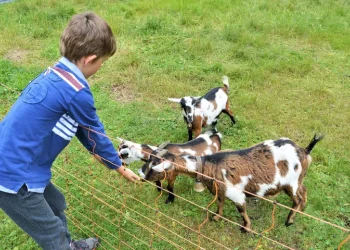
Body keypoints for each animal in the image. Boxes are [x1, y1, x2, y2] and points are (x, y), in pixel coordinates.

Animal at [145, 134, 322, 231]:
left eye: (155, 166)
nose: (142, 176)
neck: (209, 165)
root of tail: (305, 151)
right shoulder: (219, 190)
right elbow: (220, 203)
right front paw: (216, 218)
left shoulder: (236, 194)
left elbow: (241, 210)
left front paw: (245, 228)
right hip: (298, 180)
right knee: (304, 190)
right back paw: (302, 209)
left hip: (291, 183)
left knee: (297, 199)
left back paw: (289, 221)